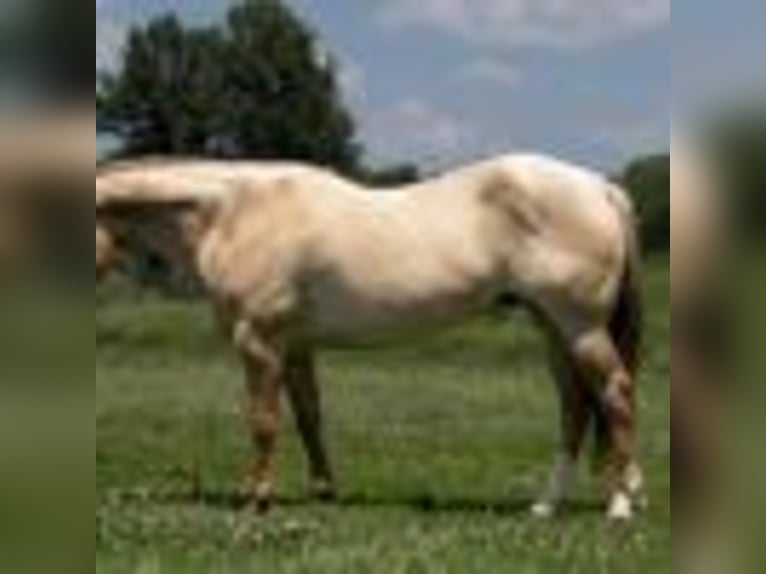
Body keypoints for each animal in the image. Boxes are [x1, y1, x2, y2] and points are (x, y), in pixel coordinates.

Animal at [96, 154, 644, 520]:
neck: (235, 211)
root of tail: (602, 188)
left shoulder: (259, 341)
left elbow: (264, 422)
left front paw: (257, 498)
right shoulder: (296, 346)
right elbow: (309, 417)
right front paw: (323, 491)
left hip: (580, 327)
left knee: (615, 395)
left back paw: (620, 504)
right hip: (552, 328)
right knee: (575, 407)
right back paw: (546, 505)